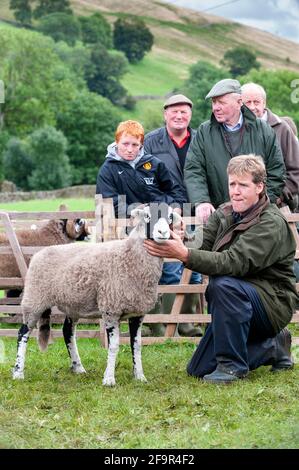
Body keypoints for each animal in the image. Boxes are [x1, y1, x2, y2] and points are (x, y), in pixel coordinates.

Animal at [12, 205, 183, 386]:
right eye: (147, 216)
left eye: (170, 217)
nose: (163, 232)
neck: (130, 255)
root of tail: (40, 252)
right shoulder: (111, 309)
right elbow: (114, 346)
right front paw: (109, 379)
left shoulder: (137, 313)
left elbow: (136, 345)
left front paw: (139, 376)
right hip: (34, 298)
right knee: (22, 333)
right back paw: (18, 372)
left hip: (71, 304)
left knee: (67, 332)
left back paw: (78, 367)